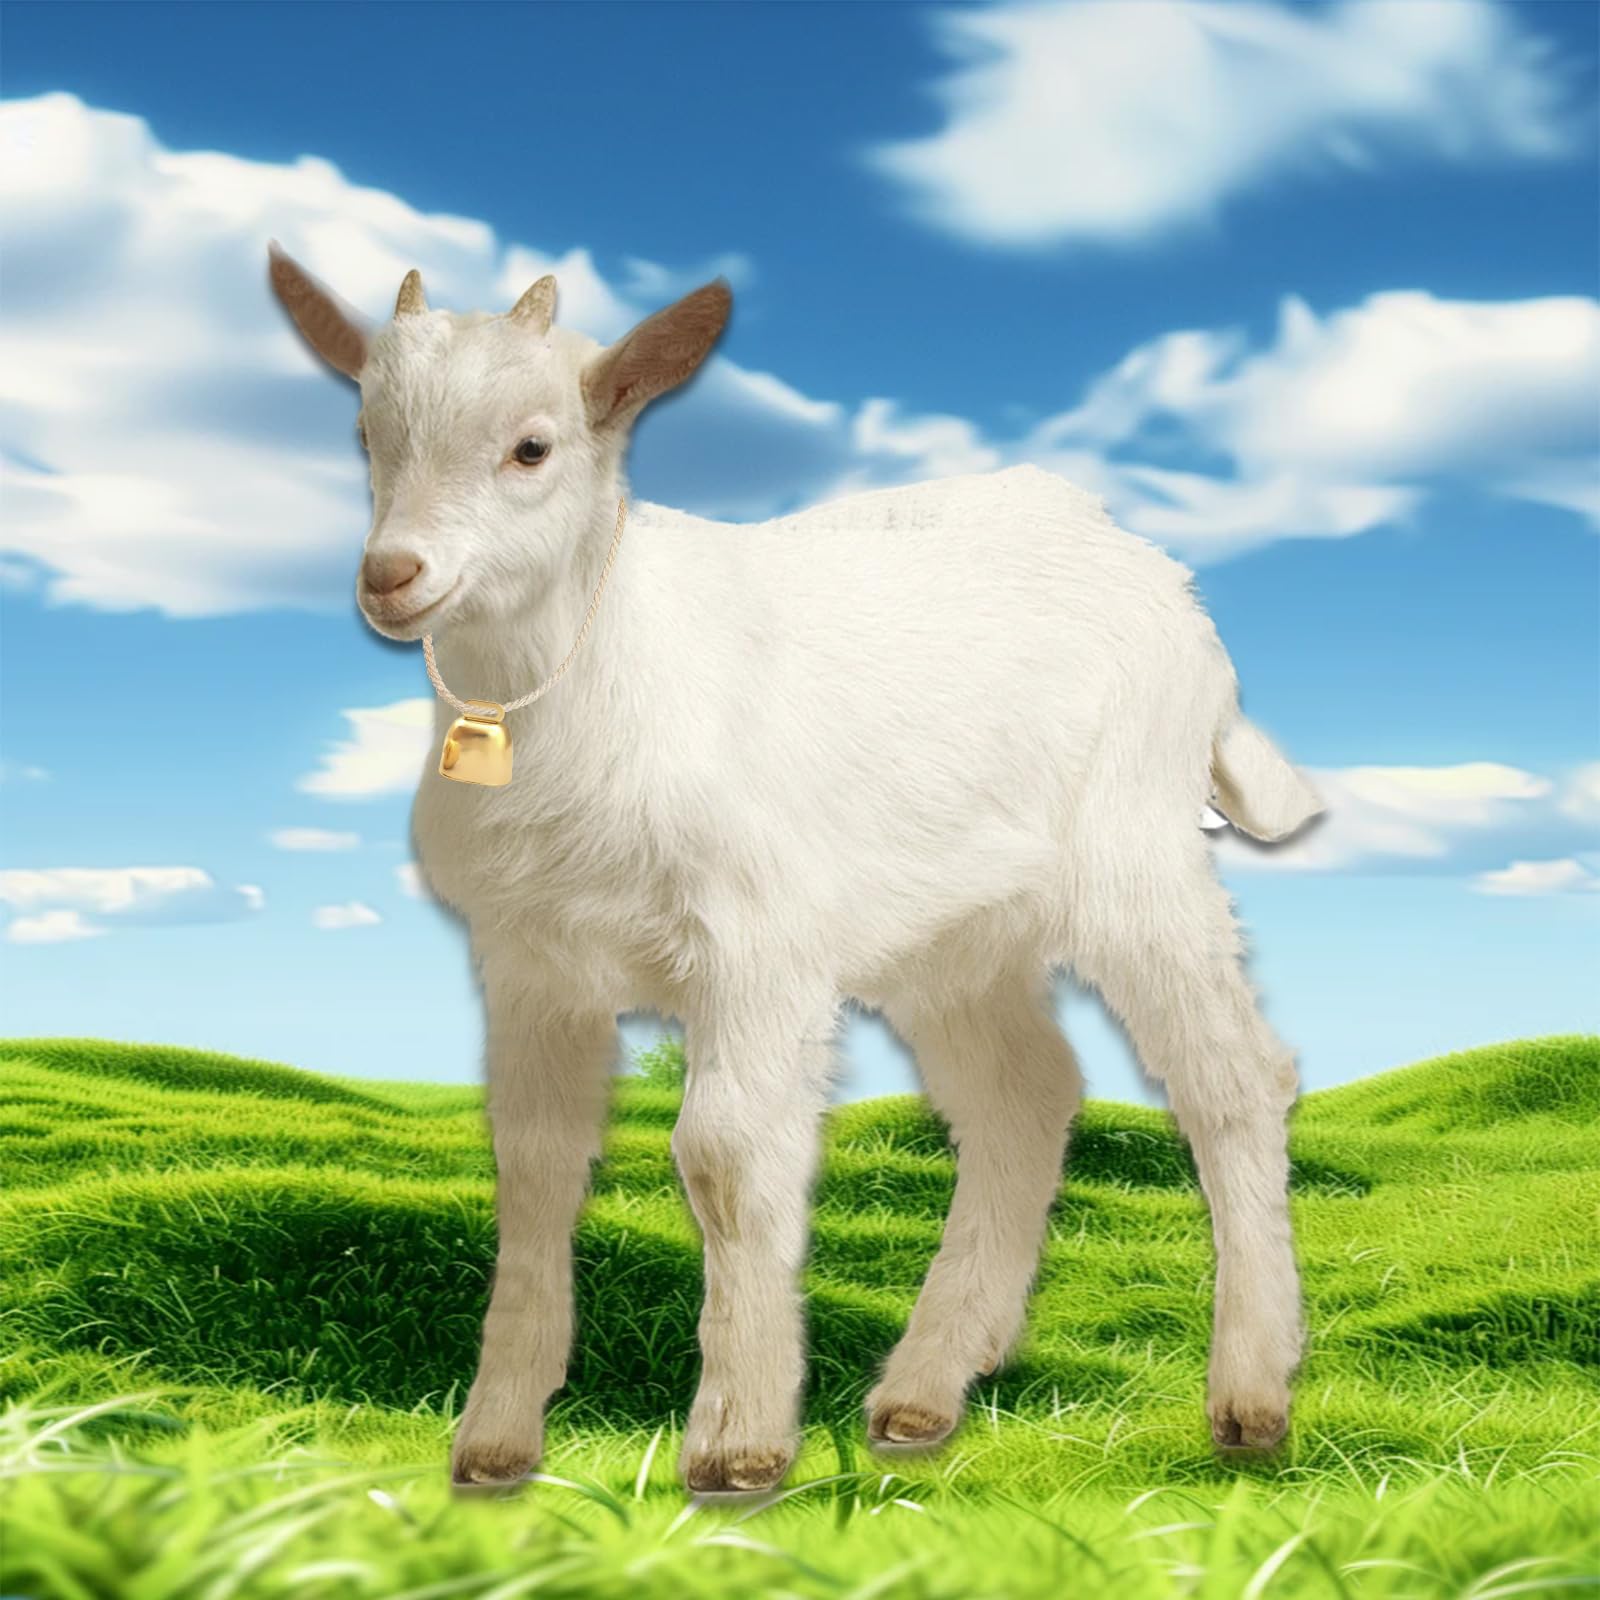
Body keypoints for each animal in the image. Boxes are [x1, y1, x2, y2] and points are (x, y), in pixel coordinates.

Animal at [268, 243, 1323, 1495]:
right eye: (367, 434)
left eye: (532, 447)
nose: (392, 574)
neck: (596, 678)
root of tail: (1159, 579)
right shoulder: (530, 960)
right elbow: (531, 1164)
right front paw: (495, 1437)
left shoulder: (755, 944)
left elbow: (724, 1153)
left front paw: (738, 1441)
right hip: (951, 928)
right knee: (1022, 1093)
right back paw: (924, 1389)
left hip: (1135, 855)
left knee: (1233, 1078)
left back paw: (1250, 1391)